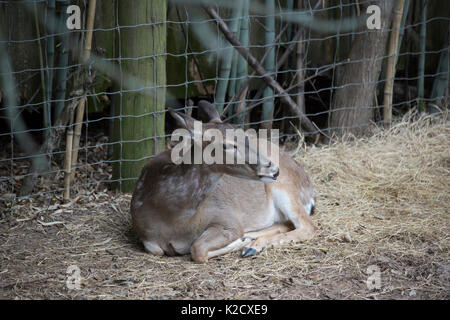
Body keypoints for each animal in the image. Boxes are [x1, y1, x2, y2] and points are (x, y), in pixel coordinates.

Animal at [130, 101, 316, 264]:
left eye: (245, 135)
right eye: (226, 145)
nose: (274, 170)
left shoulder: (228, 218)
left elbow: (198, 249)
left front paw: (242, 241)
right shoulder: (145, 234)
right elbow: (157, 249)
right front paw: (245, 240)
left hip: (286, 188)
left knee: (307, 226)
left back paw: (252, 245)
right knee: (287, 223)